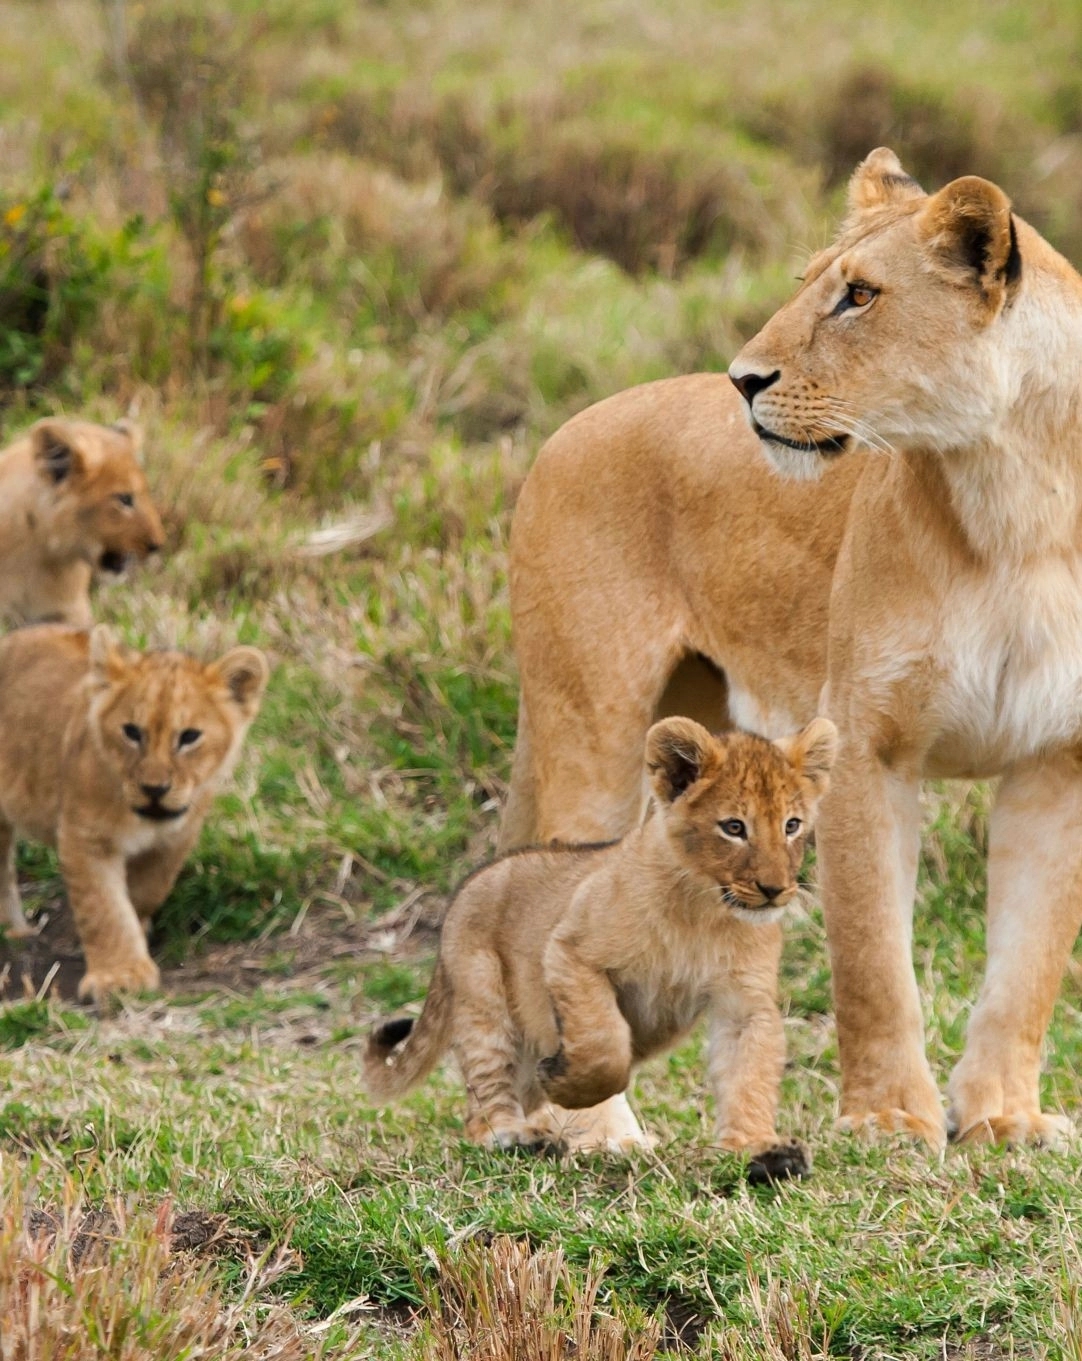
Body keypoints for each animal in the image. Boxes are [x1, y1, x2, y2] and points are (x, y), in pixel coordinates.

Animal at [0, 623, 269, 1001]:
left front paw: (138, 935)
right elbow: (103, 907)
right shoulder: (85, 839)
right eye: (131, 732)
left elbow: (145, 892)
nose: (154, 790)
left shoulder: (176, 839)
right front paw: (119, 975)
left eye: (189, 737)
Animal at [365, 716, 836, 1175]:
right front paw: (563, 1083)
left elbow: (748, 1073)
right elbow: (604, 1046)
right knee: (483, 1105)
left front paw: (758, 1150)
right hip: (486, 1004)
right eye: (734, 827)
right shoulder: (571, 952)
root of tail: (471, 882)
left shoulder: (744, 1000)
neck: (703, 910)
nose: (774, 890)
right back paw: (521, 1138)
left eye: (791, 825)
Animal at [503, 147, 1082, 1151]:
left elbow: (1029, 965)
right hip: (590, 726)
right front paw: (889, 1119)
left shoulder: (1058, 758)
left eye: (860, 295)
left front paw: (1005, 1120)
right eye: (812, 282)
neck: (1016, 491)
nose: (742, 380)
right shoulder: (865, 745)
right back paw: (602, 1132)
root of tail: (565, 429)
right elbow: (873, 959)